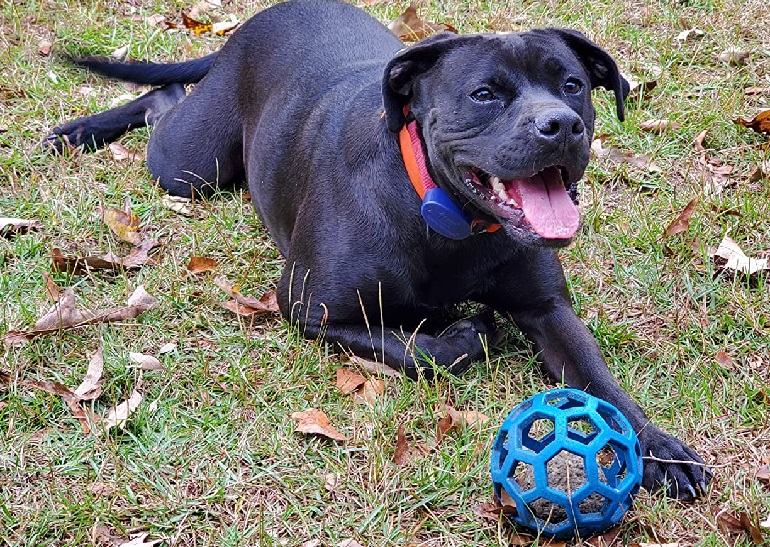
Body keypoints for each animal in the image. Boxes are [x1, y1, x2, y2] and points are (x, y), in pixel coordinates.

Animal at [46, 0, 708, 500]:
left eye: (572, 85)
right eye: (485, 94)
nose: (562, 124)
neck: (444, 218)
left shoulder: (549, 310)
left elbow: (600, 384)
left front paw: (658, 447)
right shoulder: (310, 308)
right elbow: (416, 350)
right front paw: (463, 335)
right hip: (187, 166)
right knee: (164, 100)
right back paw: (78, 131)